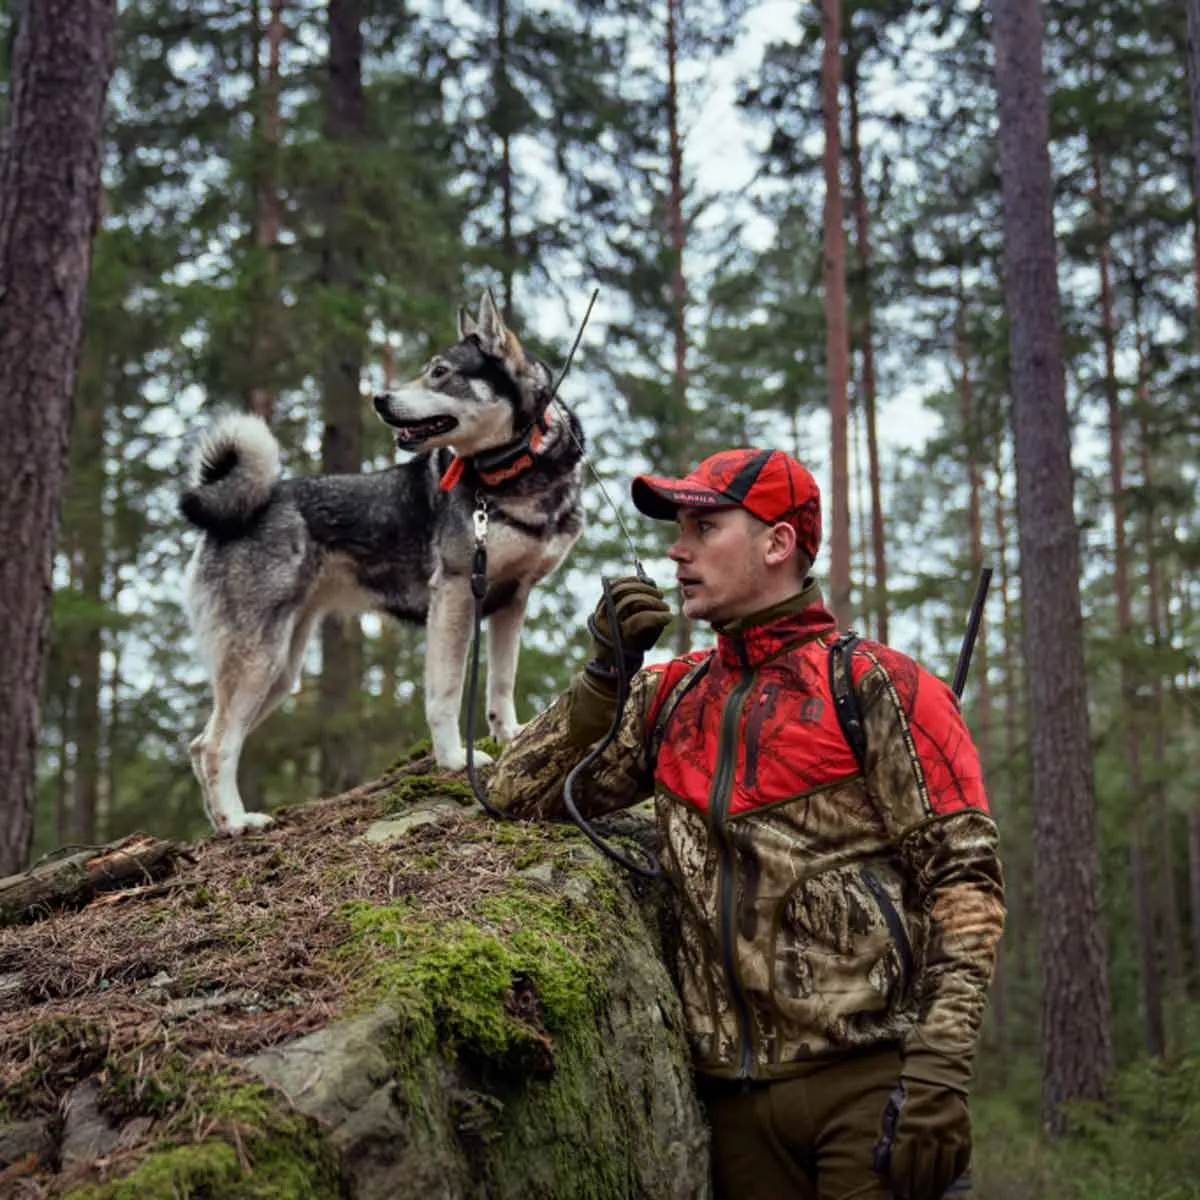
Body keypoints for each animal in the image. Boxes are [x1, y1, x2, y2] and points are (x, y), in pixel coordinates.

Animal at [178, 292, 585, 835]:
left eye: (440, 372)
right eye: (427, 370)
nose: (378, 398)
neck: (513, 470)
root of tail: (241, 508)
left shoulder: (512, 602)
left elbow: (501, 685)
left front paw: (511, 738)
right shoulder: (455, 594)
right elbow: (446, 692)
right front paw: (453, 759)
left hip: (280, 670)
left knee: (203, 744)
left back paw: (221, 825)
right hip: (257, 660)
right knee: (217, 744)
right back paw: (238, 821)